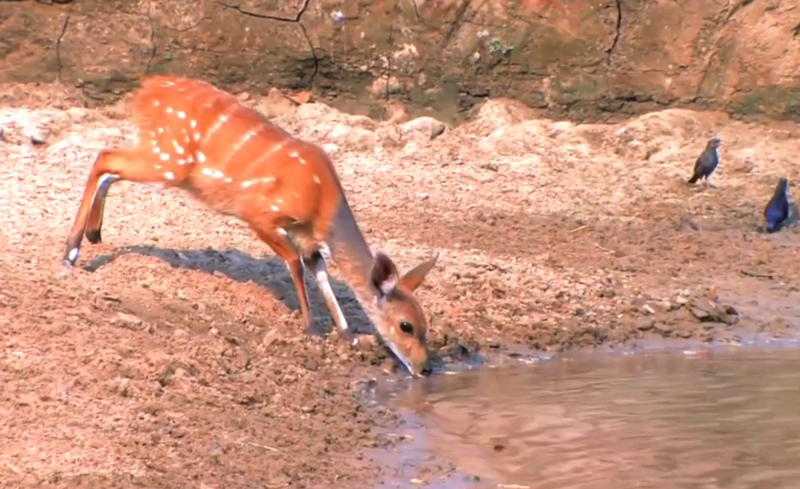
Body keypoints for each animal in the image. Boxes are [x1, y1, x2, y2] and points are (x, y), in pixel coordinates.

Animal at [61, 73, 438, 378]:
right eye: (406, 325)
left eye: (425, 325)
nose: (424, 368)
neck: (322, 204)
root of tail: (146, 87)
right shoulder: (260, 214)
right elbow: (294, 264)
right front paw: (311, 328)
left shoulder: (309, 242)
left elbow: (321, 276)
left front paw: (349, 335)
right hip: (170, 160)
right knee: (105, 157)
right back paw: (71, 253)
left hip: (162, 159)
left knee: (111, 165)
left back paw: (93, 234)